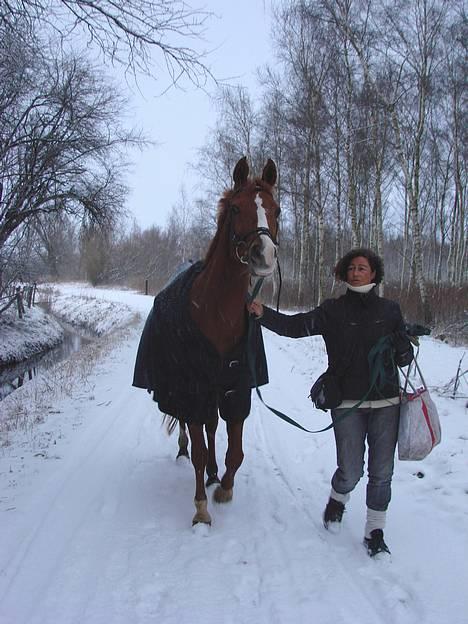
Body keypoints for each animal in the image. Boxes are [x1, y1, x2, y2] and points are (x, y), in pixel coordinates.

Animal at [133, 156, 278, 528]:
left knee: (213, 428)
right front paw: (200, 508)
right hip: (185, 392)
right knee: (191, 428)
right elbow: (199, 450)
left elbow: (235, 452)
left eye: (277, 209)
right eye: (237, 208)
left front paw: (224, 487)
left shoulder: (236, 389)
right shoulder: (192, 390)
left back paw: (214, 474)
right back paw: (186, 452)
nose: (264, 255)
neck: (216, 312)